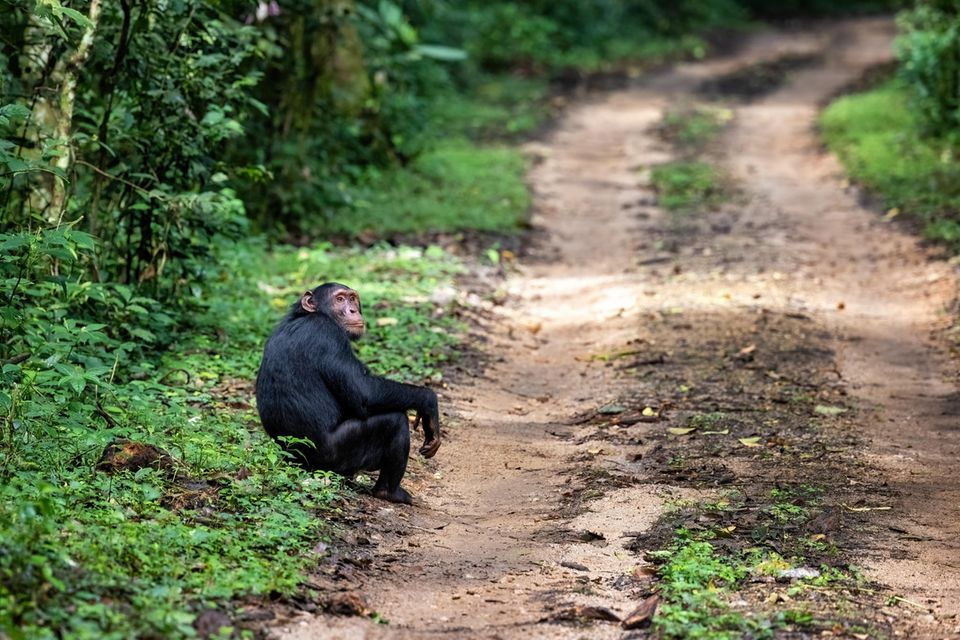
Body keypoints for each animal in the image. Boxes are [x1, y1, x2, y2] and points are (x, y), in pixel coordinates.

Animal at [251, 282, 438, 502]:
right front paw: (429, 403)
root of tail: (296, 462)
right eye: (339, 299)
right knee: (394, 421)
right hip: (337, 458)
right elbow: (365, 392)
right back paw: (390, 492)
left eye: (352, 298)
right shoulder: (328, 335)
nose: (353, 310)